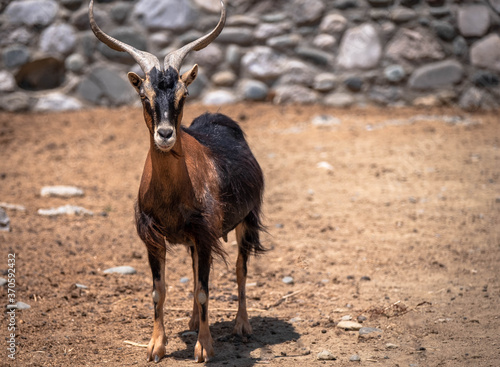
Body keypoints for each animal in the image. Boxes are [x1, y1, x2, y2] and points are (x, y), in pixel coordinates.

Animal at [90, 0, 268, 364]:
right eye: (144, 96)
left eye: (182, 95)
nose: (165, 134)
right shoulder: (153, 237)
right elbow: (159, 291)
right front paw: (156, 347)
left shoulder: (204, 234)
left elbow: (204, 290)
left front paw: (204, 348)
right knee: (199, 271)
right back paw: (192, 321)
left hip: (246, 221)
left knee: (241, 269)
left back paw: (241, 326)